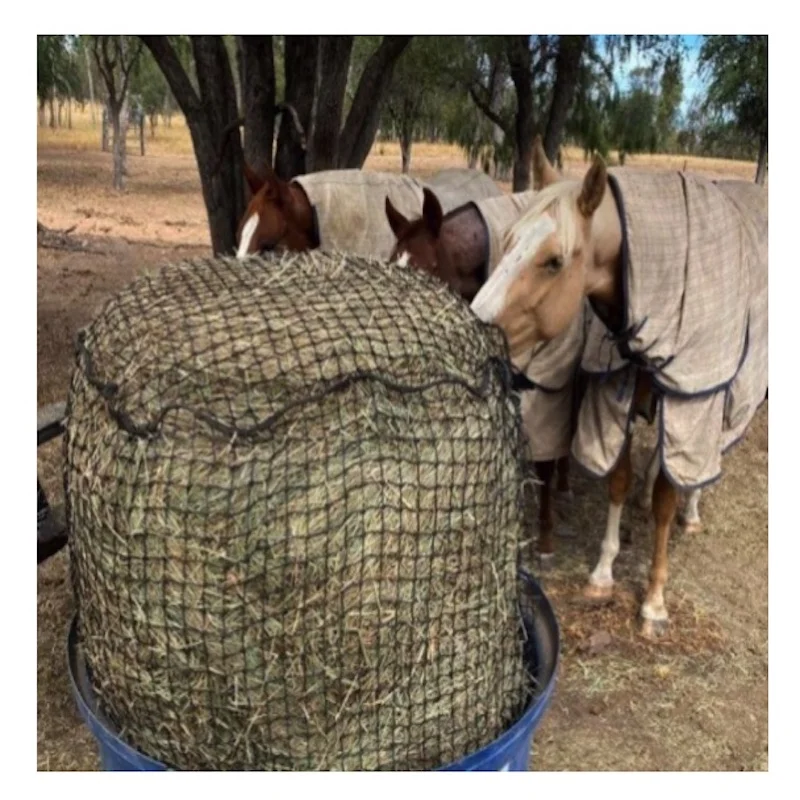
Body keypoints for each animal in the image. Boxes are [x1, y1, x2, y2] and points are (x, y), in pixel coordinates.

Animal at [470, 137, 767, 637]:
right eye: (507, 241)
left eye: (553, 261)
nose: (472, 324)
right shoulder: (614, 392)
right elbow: (620, 479)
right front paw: (603, 573)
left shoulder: (687, 402)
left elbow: (667, 498)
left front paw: (654, 601)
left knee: (704, 461)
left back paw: (692, 512)